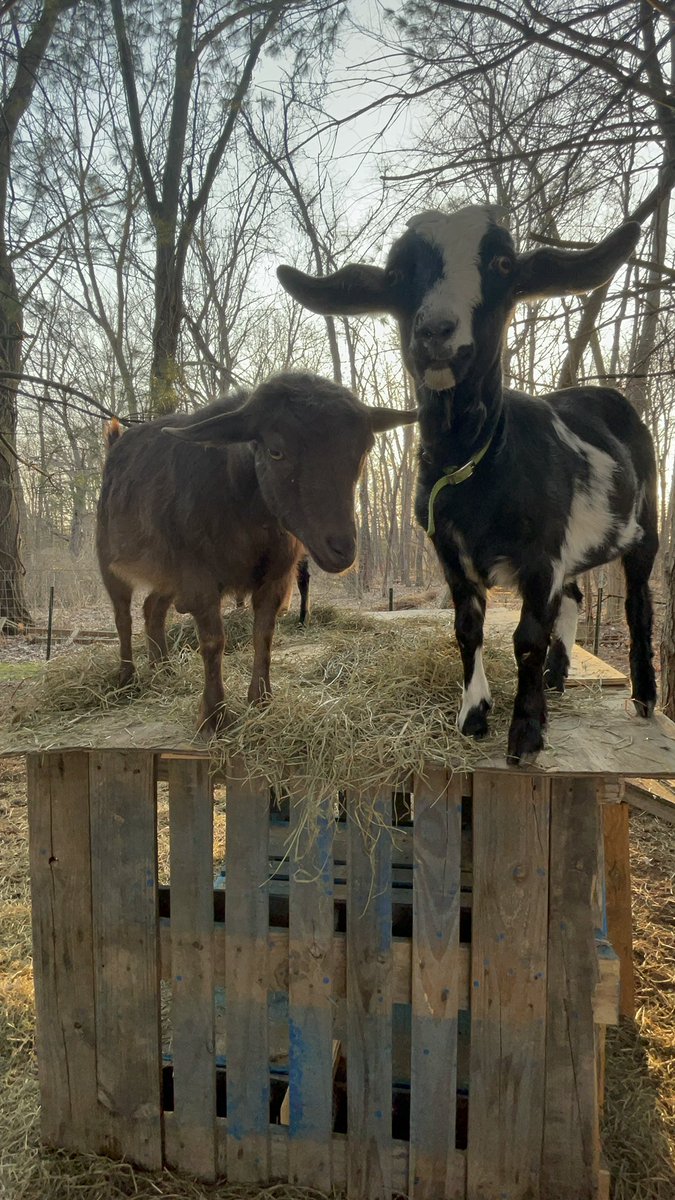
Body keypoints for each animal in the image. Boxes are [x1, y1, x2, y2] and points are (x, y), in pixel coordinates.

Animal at [97, 371, 416, 731]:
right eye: (276, 451)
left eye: (363, 450)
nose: (342, 549)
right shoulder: (198, 578)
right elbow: (214, 640)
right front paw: (214, 716)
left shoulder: (274, 577)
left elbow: (263, 634)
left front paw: (261, 701)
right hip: (110, 560)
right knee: (122, 616)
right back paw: (127, 677)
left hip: (167, 574)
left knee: (152, 609)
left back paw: (163, 668)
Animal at [278, 207, 657, 764]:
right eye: (397, 273)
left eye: (502, 263)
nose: (436, 329)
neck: (475, 466)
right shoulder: (451, 552)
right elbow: (467, 628)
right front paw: (474, 715)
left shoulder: (541, 555)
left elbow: (526, 637)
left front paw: (525, 737)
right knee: (575, 596)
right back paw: (557, 676)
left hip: (644, 527)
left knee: (636, 604)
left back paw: (645, 695)